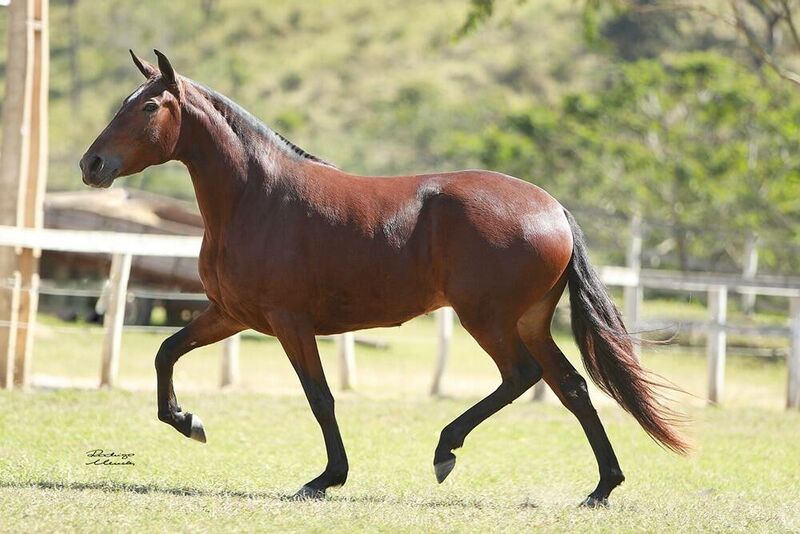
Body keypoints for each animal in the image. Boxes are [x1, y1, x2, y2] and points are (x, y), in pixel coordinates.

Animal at [79, 50, 688, 506]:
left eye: (149, 105)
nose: (92, 164)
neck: (258, 196)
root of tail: (554, 208)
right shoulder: (231, 314)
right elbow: (166, 352)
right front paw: (187, 420)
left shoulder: (288, 321)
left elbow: (320, 397)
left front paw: (325, 479)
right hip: (530, 321)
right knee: (572, 387)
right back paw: (601, 488)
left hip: (488, 319)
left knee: (521, 376)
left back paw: (446, 449)